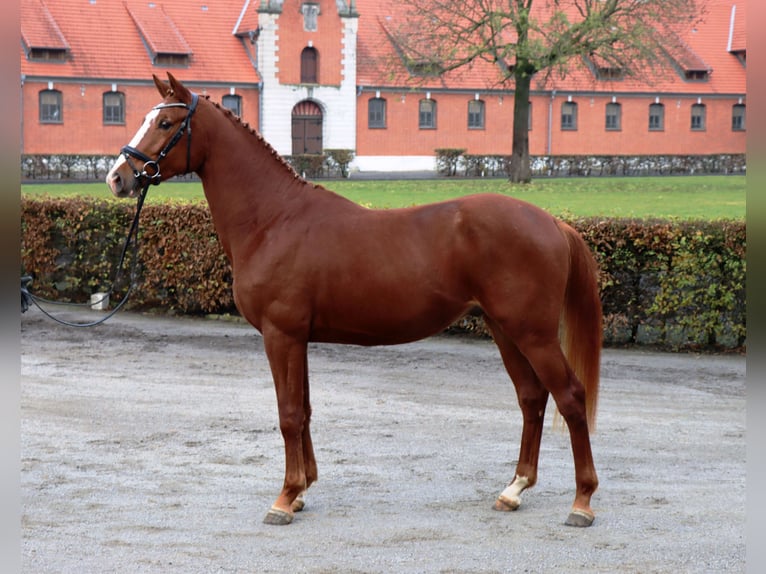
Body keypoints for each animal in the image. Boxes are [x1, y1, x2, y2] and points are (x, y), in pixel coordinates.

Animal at [105, 74, 604, 528]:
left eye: (165, 122)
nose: (118, 177)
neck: (273, 219)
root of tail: (552, 222)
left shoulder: (280, 335)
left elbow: (288, 415)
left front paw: (283, 499)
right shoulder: (298, 339)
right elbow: (304, 410)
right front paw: (302, 491)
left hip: (532, 333)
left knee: (570, 397)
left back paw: (581, 502)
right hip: (505, 329)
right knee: (532, 398)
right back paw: (513, 489)